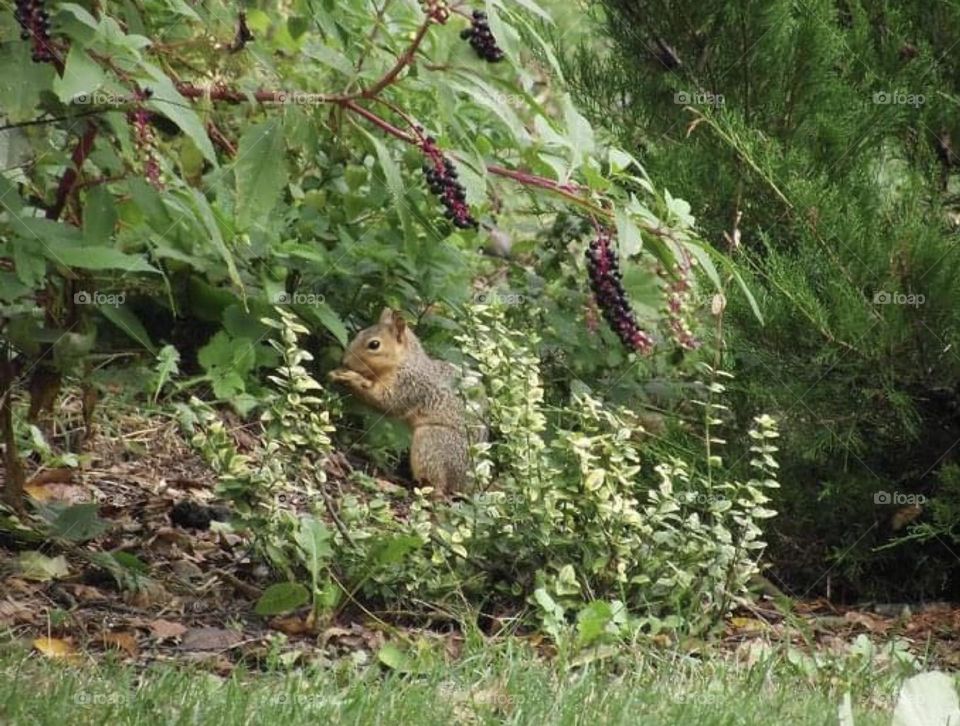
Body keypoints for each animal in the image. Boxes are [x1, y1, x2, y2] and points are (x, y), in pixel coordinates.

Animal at [327, 308, 475, 495]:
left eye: (374, 345)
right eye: (359, 333)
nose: (344, 361)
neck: (404, 361)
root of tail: (463, 485)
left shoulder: (409, 385)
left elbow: (387, 402)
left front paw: (352, 378)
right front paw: (337, 374)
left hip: (431, 442)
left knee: (436, 489)